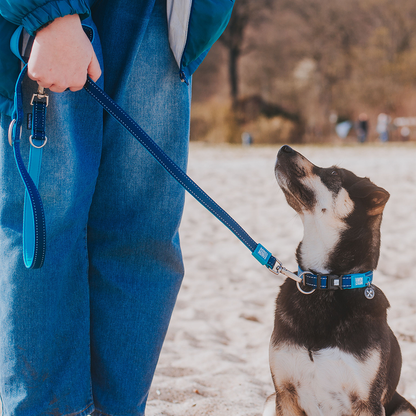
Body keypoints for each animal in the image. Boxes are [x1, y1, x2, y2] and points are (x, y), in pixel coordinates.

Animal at [264, 145, 414, 416]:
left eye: (334, 173)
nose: (284, 148)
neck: (326, 283)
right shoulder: (284, 393)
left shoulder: (367, 402)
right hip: (270, 401)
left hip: (405, 408)